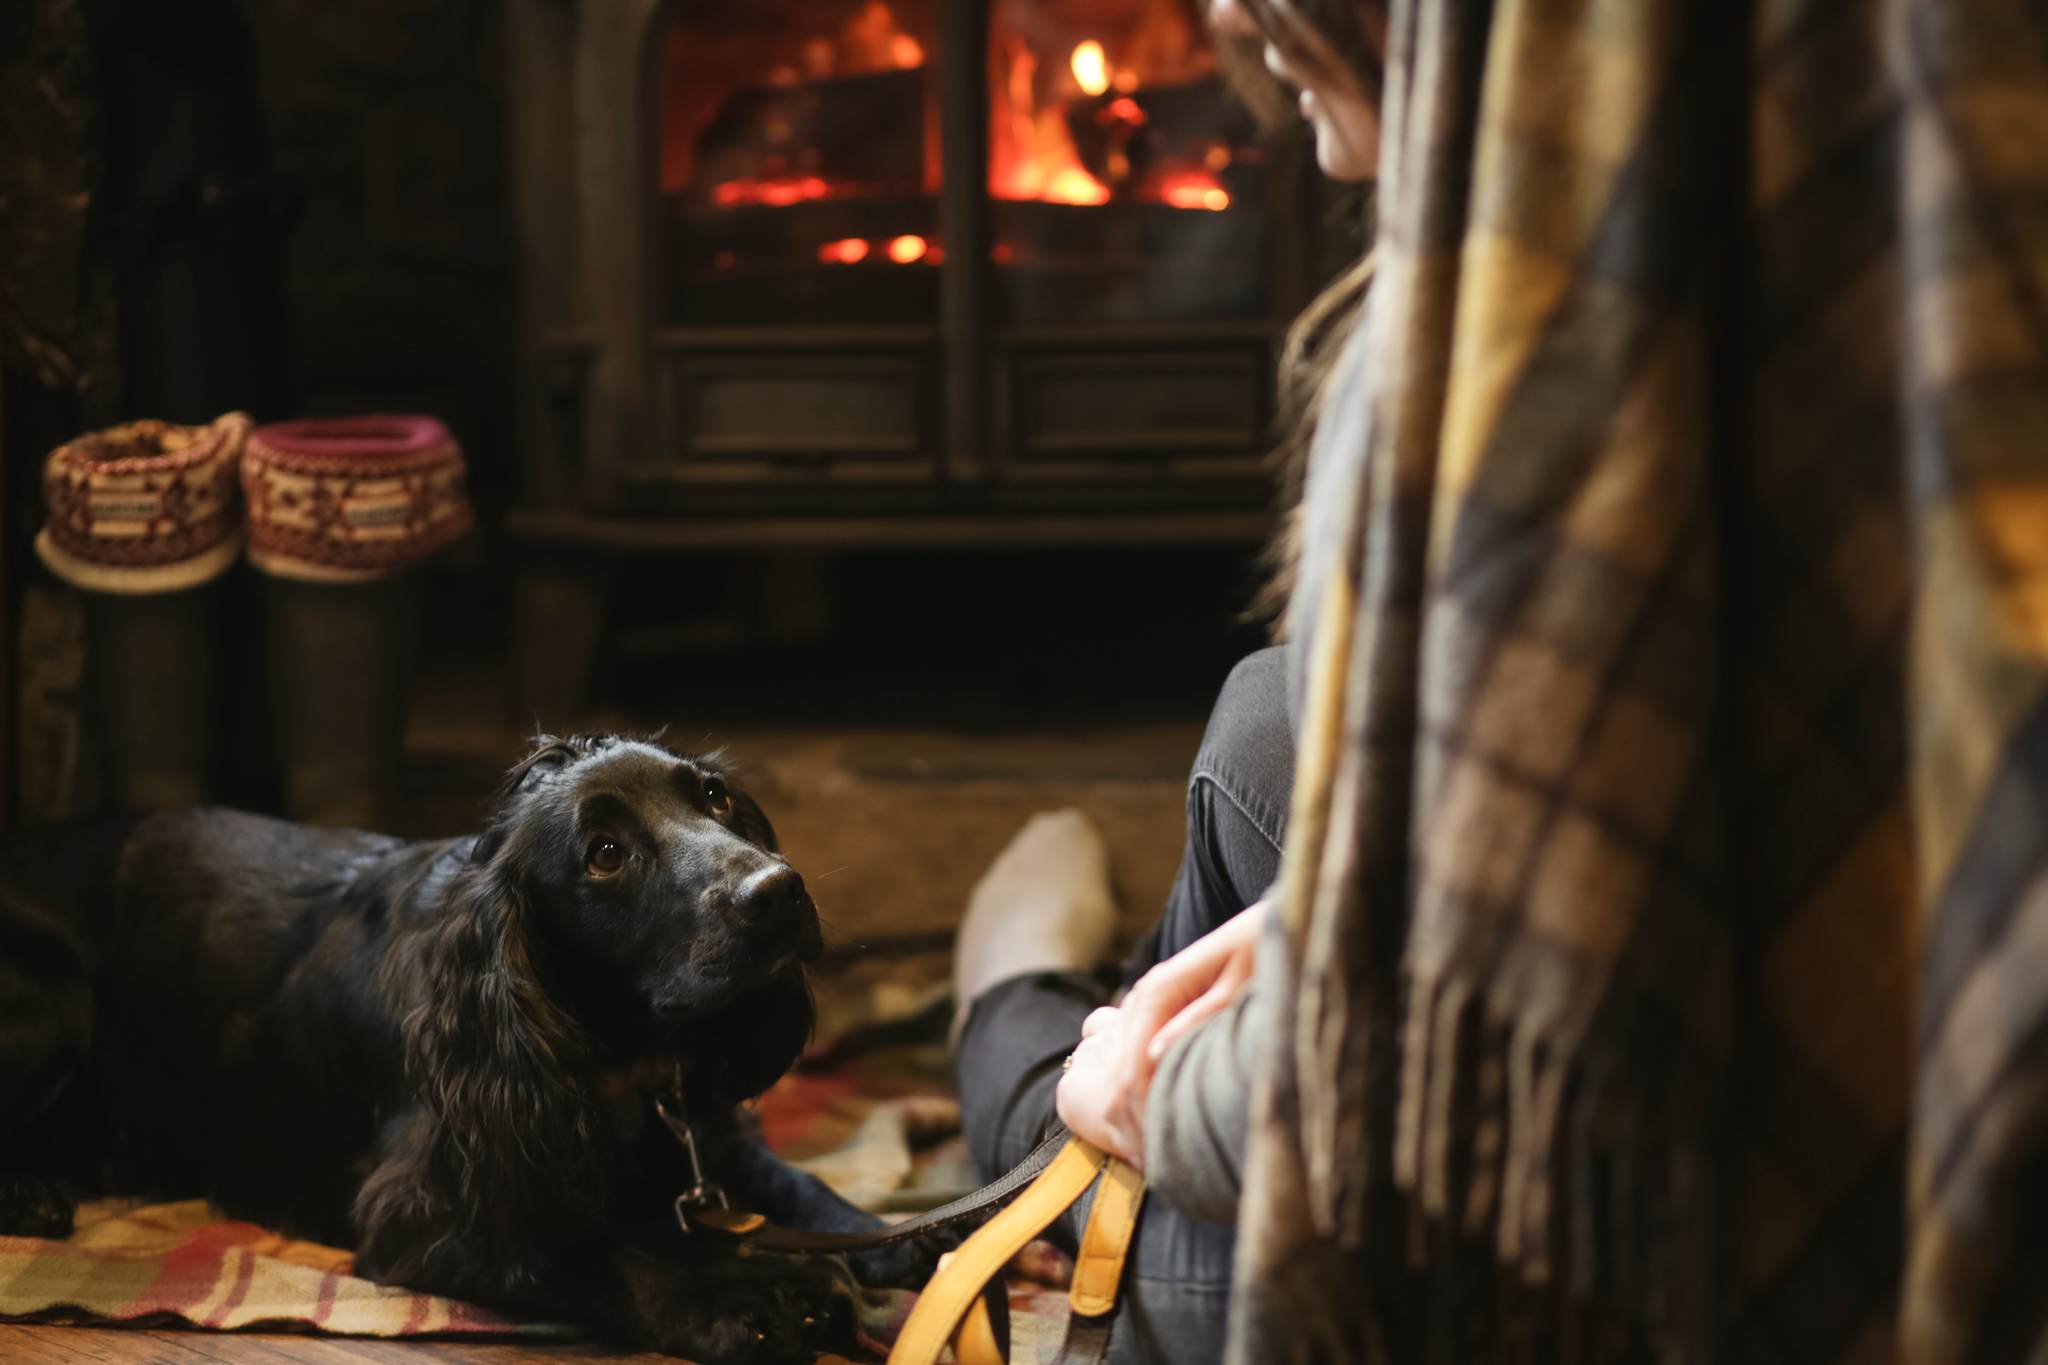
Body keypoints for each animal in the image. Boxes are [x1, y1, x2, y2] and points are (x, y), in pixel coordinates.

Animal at [0, 734, 934, 1364]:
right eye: (605, 853)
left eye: (714, 795)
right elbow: (595, 1248)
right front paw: (737, 1291)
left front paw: (884, 1232)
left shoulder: (703, 1121)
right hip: (54, 997)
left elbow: (792, 1183)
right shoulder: (428, 1208)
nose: (778, 891)